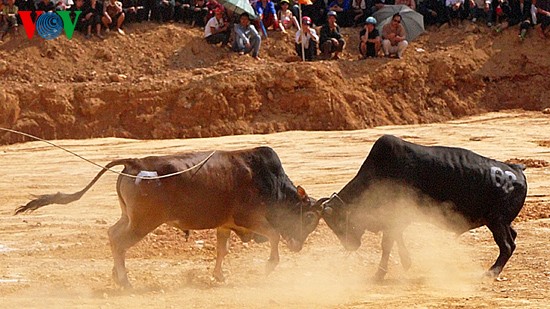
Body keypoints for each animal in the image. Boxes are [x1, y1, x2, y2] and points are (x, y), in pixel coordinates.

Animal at [16, 146, 324, 288]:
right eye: (309, 217)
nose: (298, 246)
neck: (267, 180)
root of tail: (135, 162)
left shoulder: (225, 224)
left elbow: (221, 250)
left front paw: (219, 275)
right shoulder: (250, 219)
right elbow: (273, 235)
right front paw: (269, 266)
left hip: (130, 218)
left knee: (113, 234)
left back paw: (117, 275)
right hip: (142, 223)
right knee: (119, 242)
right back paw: (125, 281)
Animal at [320, 135, 532, 280]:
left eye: (338, 222)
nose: (350, 245)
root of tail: (516, 169)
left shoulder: (394, 218)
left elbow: (387, 244)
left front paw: (379, 274)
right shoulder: (397, 220)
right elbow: (396, 240)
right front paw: (406, 263)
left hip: (497, 222)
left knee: (507, 245)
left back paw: (490, 273)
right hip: (500, 222)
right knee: (512, 238)